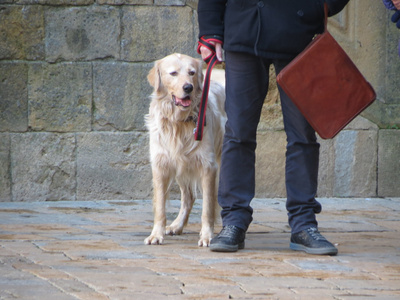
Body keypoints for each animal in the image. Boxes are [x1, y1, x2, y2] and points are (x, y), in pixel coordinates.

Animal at [145, 53, 227, 246]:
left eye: (192, 72)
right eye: (173, 73)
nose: (188, 87)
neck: (178, 122)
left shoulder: (208, 166)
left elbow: (207, 207)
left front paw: (207, 236)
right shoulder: (161, 164)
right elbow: (160, 206)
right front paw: (156, 234)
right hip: (183, 165)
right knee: (189, 198)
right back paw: (177, 225)